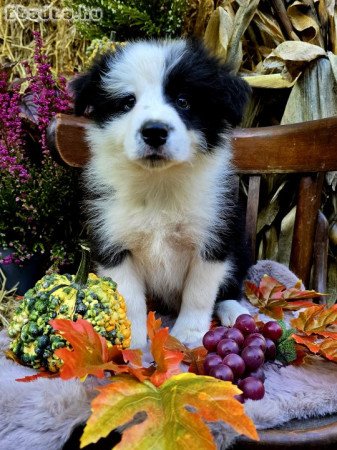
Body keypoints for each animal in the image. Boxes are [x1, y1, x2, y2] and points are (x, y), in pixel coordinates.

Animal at [70, 39, 249, 348]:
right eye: (127, 102)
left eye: (184, 101)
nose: (154, 131)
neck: (159, 183)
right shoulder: (113, 243)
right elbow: (129, 299)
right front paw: (133, 342)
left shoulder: (213, 239)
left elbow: (199, 292)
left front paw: (188, 333)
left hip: (238, 242)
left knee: (230, 288)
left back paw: (235, 312)